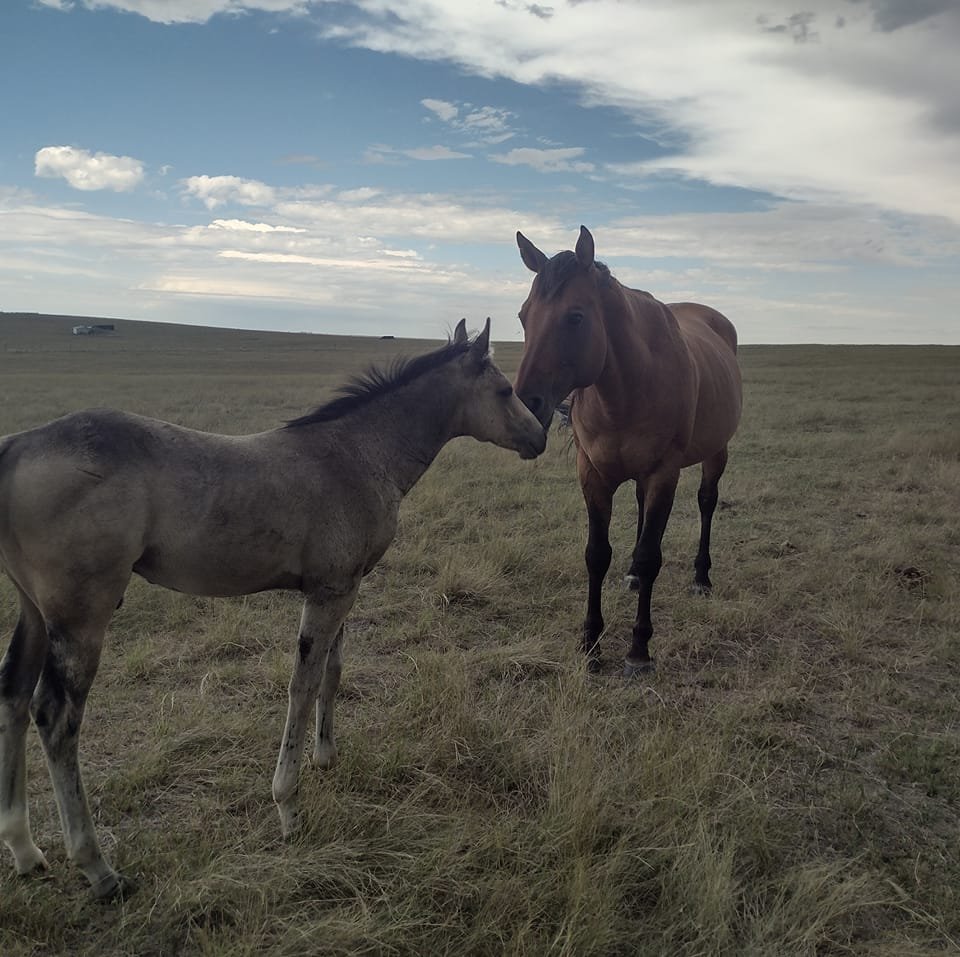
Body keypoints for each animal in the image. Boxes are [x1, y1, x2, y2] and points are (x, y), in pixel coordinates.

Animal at [0, 319, 546, 899]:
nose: (540, 436)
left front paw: (326, 757)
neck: (359, 454)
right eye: (504, 390)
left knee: (13, 695)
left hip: (34, 611)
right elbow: (302, 687)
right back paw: (98, 868)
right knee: (56, 717)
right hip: (81, 619)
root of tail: (16, 446)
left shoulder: (343, 587)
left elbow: (332, 671)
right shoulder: (330, 592)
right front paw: (288, 806)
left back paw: (24, 849)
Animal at [513, 227, 742, 677]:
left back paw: (701, 578)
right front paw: (590, 644)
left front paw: (638, 649)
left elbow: (651, 554)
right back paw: (634, 578)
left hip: (715, 452)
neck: (626, 389)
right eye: (523, 316)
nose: (525, 405)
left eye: (576, 316)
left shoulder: (664, 474)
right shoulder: (593, 475)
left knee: (707, 502)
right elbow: (597, 555)